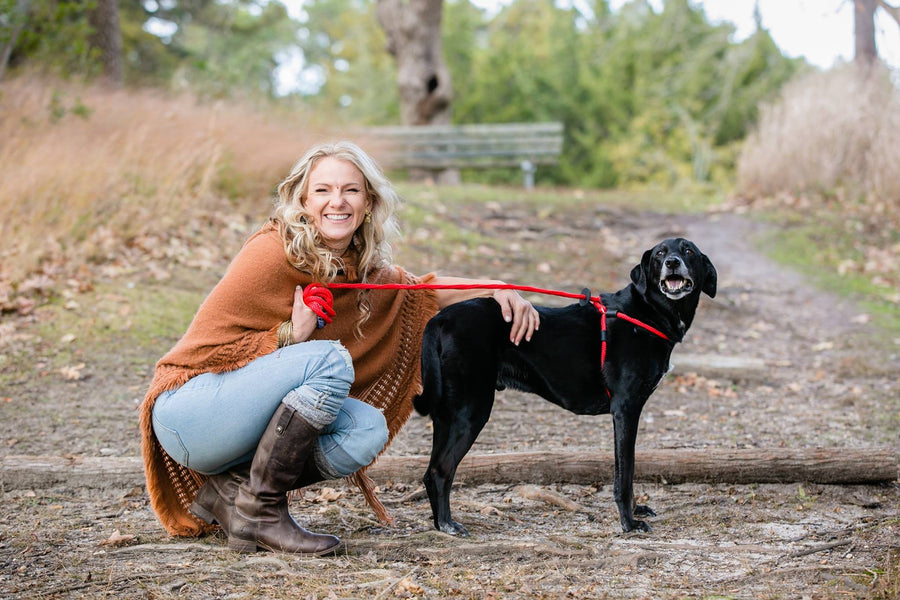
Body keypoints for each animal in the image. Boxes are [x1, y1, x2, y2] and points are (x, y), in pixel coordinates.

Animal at [414, 239, 716, 536]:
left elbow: (625, 466)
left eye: (688, 250)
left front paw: (634, 511)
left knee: (430, 471)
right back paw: (448, 524)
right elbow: (626, 473)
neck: (646, 312)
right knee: (441, 469)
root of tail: (440, 319)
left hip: (447, 414)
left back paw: (438, 523)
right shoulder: (626, 409)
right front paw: (629, 523)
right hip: (471, 410)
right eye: (660, 254)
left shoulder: (623, 415)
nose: (672, 262)